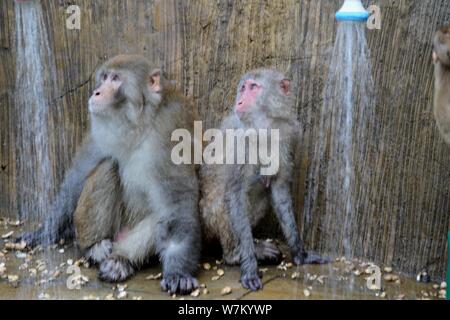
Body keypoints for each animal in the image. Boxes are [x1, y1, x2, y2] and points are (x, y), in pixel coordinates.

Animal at [16, 54, 200, 296]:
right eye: (103, 77)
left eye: (115, 78)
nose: (96, 92)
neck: (138, 123)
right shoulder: (102, 127)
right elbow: (78, 175)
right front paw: (43, 231)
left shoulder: (170, 129)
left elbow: (177, 203)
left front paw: (178, 272)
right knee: (108, 166)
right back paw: (95, 247)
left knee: (158, 216)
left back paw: (120, 260)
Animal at [200, 69, 330, 292]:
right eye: (243, 88)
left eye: (253, 87)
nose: (240, 101)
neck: (265, 127)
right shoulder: (240, 142)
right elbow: (235, 195)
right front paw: (249, 266)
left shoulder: (287, 137)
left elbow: (279, 191)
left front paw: (300, 253)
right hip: (208, 217)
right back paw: (235, 254)